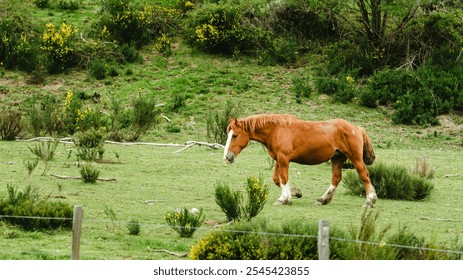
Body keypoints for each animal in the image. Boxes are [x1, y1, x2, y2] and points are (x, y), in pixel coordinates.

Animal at [226, 114, 380, 208]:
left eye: (234, 135)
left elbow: (283, 178)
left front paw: (284, 198)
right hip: (337, 158)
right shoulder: (278, 159)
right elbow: (277, 179)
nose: (227, 157)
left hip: (355, 158)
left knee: (364, 175)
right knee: (336, 178)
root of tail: (356, 128)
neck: (276, 130)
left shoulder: (284, 158)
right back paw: (323, 200)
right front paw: (295, 192)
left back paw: (369, 201)